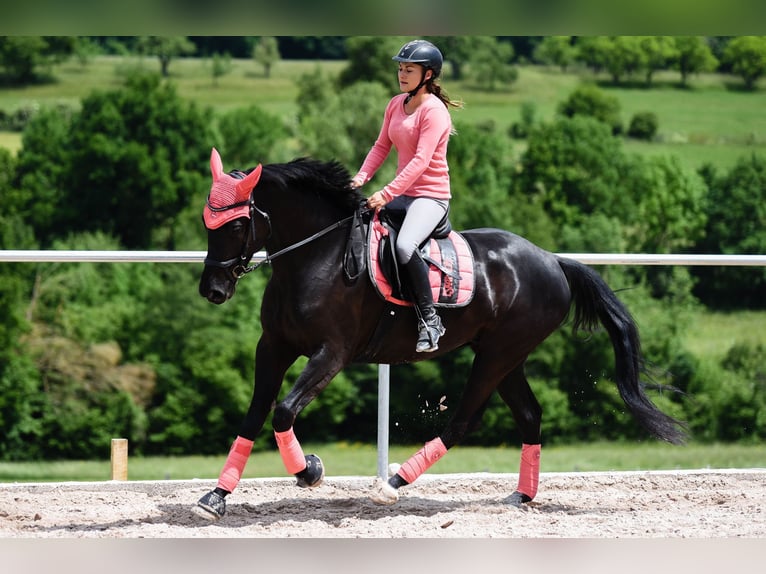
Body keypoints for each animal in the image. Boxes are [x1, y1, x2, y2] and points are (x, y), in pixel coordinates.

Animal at [193, 147, 686, 520]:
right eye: (205, 222)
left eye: (236, 224)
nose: (212, 290)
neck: (318, 256)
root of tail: (551, 259)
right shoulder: (273, 347)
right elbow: (255, 415)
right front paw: (216, 497)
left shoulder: (331, 354)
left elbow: (283, 411)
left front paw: (309, 471)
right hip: (507, 357)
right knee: (529, 416)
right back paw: (520, 495)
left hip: (497, 355)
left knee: (464, 420)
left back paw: (392, 483)